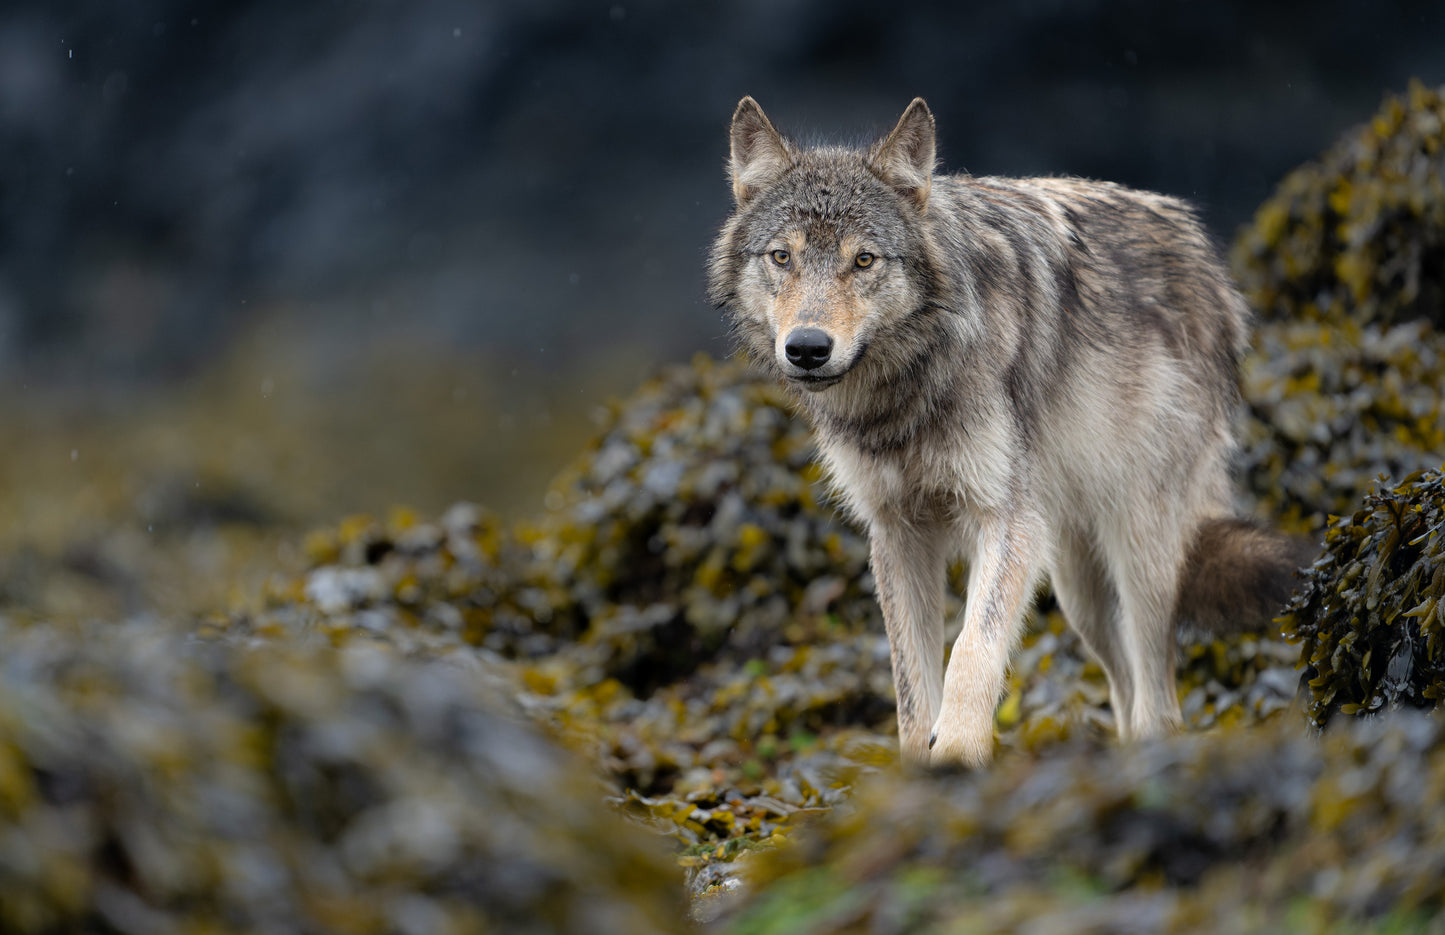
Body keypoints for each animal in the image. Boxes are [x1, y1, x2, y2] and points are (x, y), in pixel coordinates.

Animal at [707, 96, 1313, 767]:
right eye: (781, 257)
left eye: (863, 259)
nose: (808, 348)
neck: (909, 393)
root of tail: (1210, 263)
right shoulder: (897, 535)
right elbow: (911, 692)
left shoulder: (1006, 520)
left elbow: (972, 652)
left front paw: (957, 756)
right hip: (1079, 589)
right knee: (1127, 694)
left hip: (1137, 555)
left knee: (1161, 703)